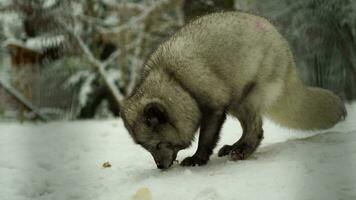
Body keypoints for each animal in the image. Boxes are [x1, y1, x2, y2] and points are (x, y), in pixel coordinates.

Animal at [119, 11, 344, 170]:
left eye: (158, 145)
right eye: (146, 148)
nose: (160, 167)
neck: (177, 82)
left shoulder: (214, 108)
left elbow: (206, 138)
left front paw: (197, 159)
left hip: (248, 98)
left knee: (256, 130)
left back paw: (242, 151)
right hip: (236, 102)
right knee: (249, 128)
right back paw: (234, 147)